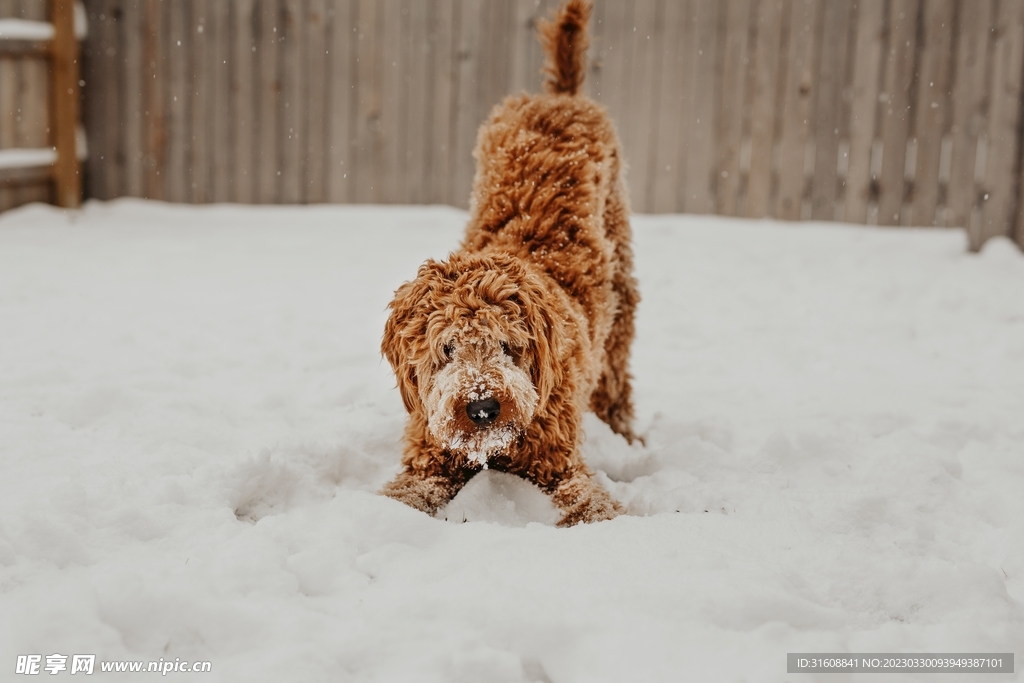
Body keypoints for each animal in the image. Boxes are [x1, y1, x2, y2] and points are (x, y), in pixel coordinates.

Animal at [385, 0, 638, 528]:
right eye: (446, 349)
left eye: (507, 345)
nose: (482, 407)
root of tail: (558, 96)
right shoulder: (429, 455)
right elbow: (405, 493)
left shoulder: (559, 460)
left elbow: (590, 502)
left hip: (622, 286)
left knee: (616, 373)